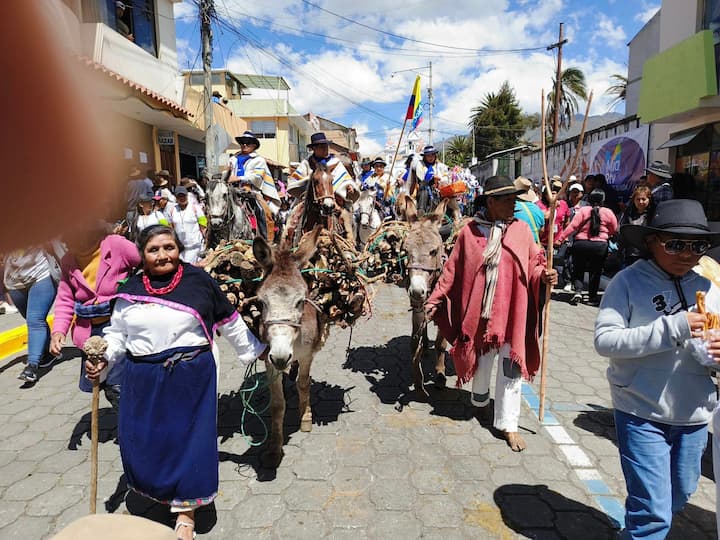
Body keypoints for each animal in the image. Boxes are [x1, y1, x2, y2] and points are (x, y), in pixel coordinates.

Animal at [252, 226, 328, 466]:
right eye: (261, 301)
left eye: (301, 300)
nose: (281, 356)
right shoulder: (269, 361)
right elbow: (277, 404)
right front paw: (274, 450)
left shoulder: (307, 356)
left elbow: (303, 384)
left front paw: (306, 418)